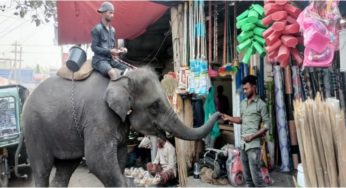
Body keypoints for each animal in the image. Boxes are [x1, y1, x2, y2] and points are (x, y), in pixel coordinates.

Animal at [23, 67, 220, 187]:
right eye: (154, 106)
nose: (220, 114)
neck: (123, 78)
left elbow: (120, 156)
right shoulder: (98, 117)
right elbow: (97, 161)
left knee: (66, 168)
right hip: (34, 129)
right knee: (42, 168)